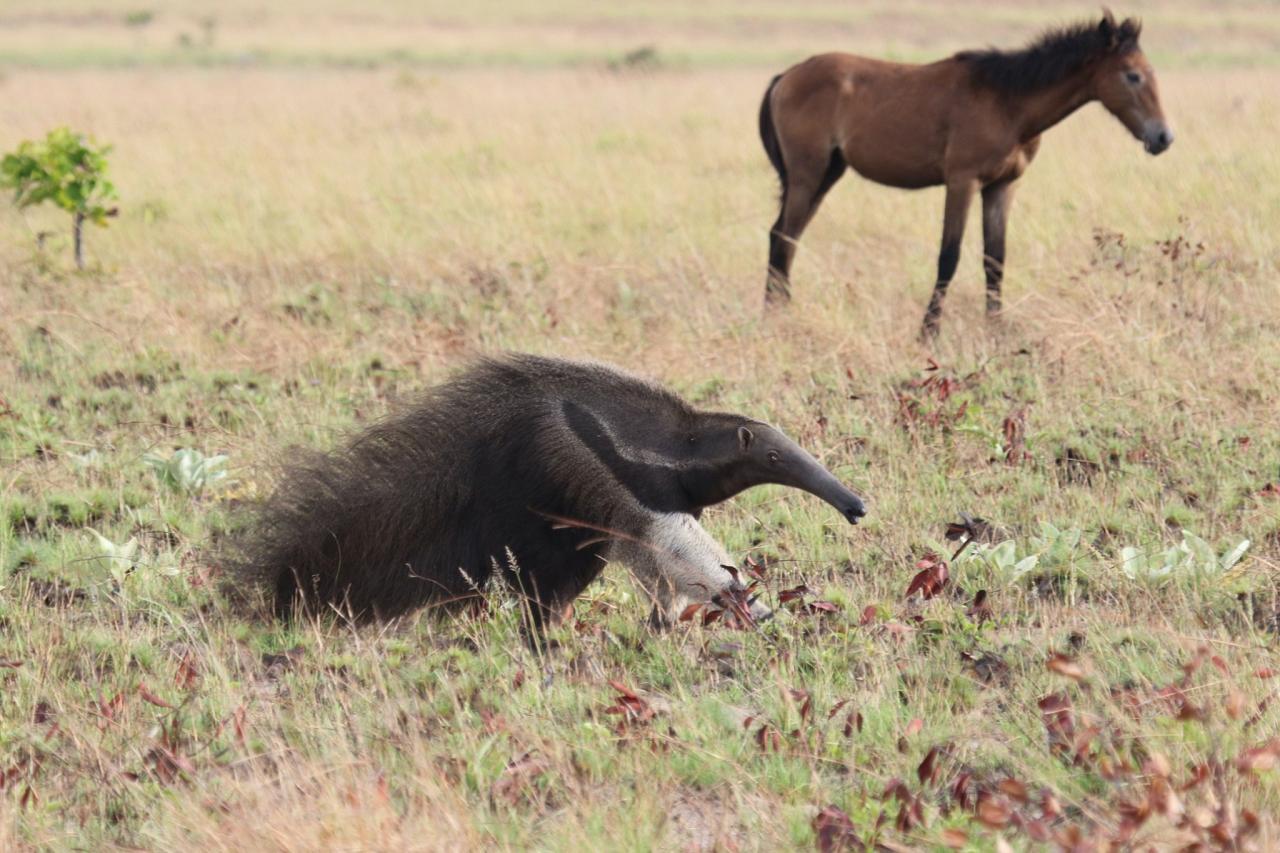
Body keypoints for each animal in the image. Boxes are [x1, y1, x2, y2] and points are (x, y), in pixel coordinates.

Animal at [757, 10, 1172, 335]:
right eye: (1132, 76)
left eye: (1151, 73)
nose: (1163, 137)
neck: (1007, 102)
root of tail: (786, 76)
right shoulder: (962, 182)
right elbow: (949, 256)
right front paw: (928, 331)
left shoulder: (1002, 187)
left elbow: (995, 260)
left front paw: (996, 328)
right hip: (808, 175)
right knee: (783, 237)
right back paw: (777, 316)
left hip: (827, 174)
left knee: (785, 237)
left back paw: (778, 311)